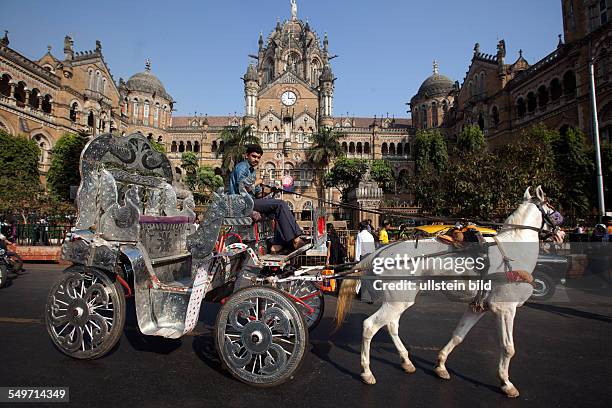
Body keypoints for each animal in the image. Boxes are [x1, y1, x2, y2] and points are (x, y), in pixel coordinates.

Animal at [334, 187, 564, 398]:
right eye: (553, 208)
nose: (562, 234)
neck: (514, 251)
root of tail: (378, 253)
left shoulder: (477, 307)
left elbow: (458, 335)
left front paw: (441, 365)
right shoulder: (505, 308)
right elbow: (508, 347)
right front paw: (506, 383)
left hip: (399, 297)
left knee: (391, 325)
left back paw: (406, 361)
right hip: (397, 300)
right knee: (369, 326)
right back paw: (367, 372)